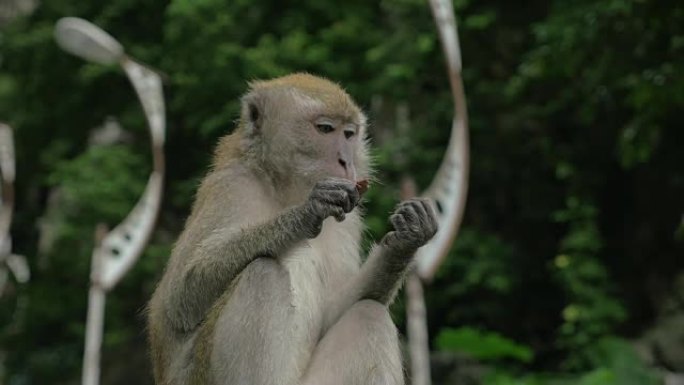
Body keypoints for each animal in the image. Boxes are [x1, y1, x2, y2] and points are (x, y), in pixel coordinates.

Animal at [148, 73, 440, 384]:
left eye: (349, 134)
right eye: (325, 129)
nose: (346, 161)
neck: (284, 189)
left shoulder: (349, 219)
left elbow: (333, 313)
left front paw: (406, 240)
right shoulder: (230, 186)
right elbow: (179, 300)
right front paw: (307, 213)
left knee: (368, 314)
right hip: (200, 375)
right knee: (261, 273)